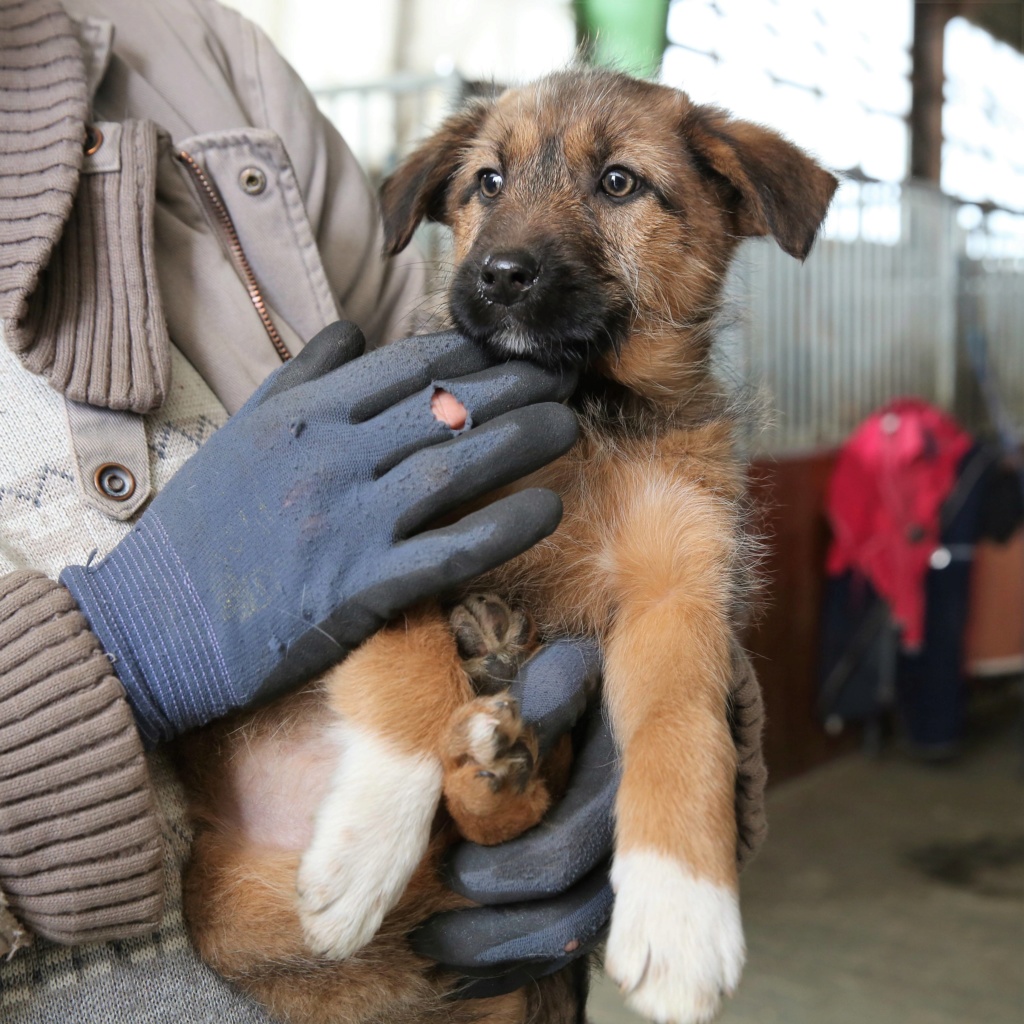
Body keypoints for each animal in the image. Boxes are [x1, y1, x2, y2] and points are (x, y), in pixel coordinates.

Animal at [180, 68, 835, 1024]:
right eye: (487, 182)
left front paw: (681, 915)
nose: (500, 275)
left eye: (619, 183)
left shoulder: (680, 590)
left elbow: (684, 733)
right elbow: (407, 665)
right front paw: (368, 837)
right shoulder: (387, 537)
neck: (583, 411)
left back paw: (505, 747)